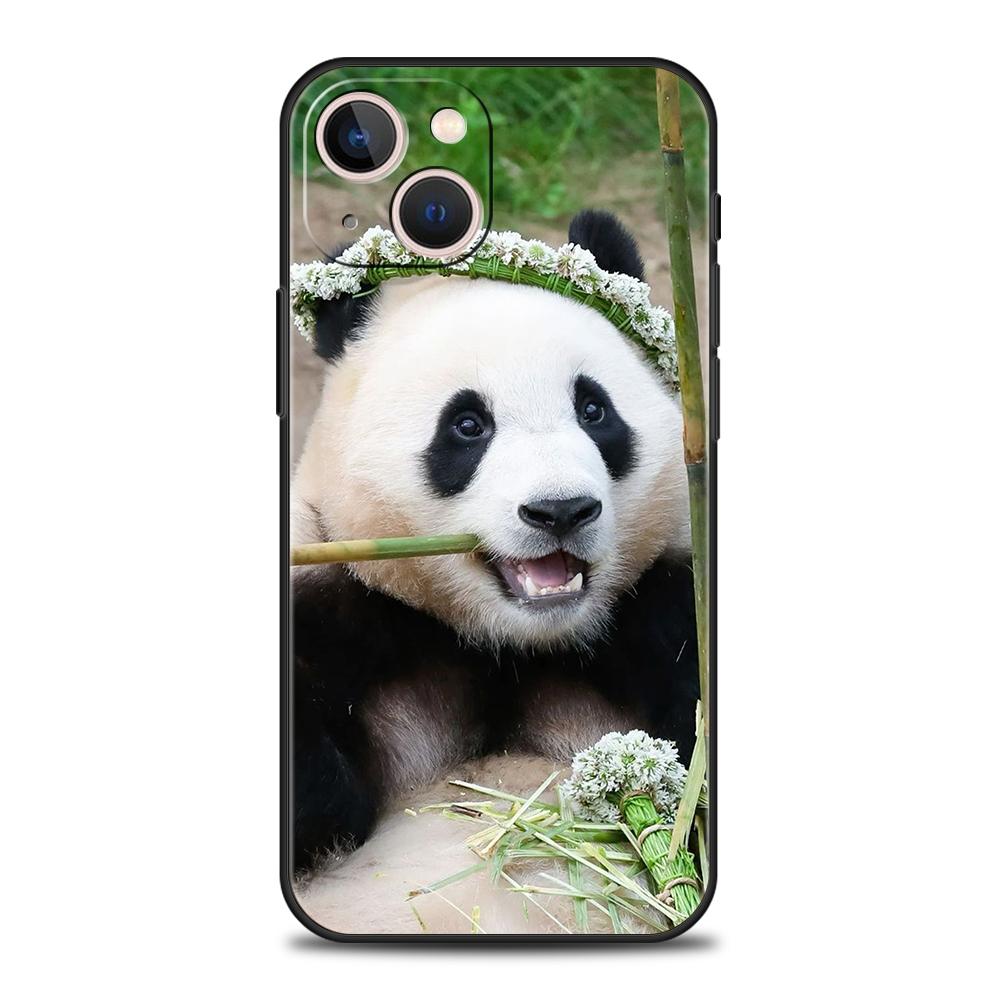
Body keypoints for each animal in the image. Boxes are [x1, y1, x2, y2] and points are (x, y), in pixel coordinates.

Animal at [290, 211, 700, 934]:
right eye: (467, 425)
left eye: (594, 410)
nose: (560, 511)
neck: (509, 648)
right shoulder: (343, 605)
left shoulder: (661, 612)